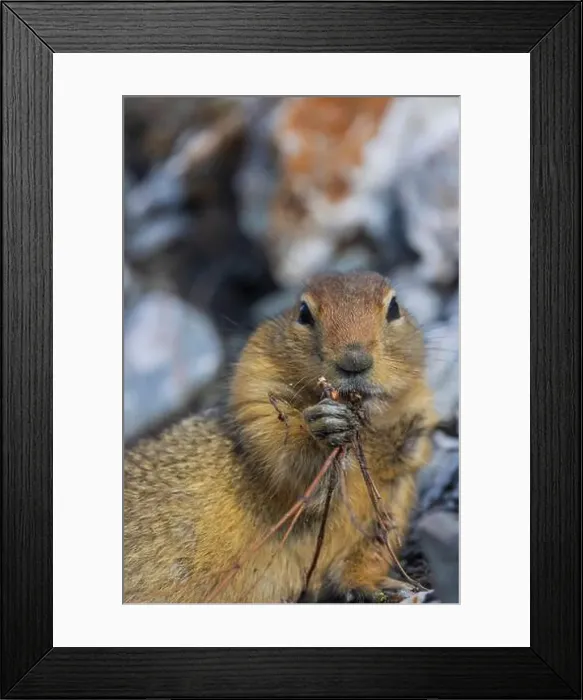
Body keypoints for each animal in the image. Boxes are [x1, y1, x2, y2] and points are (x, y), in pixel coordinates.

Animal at [124, 271, 438, 603]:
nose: (354, 360)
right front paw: (325, 425)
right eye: (303, 313)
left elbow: (374, 544)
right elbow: (292, 467)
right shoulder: (258, 405)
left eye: (394, 308)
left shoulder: (402, 469)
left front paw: (380, 585)